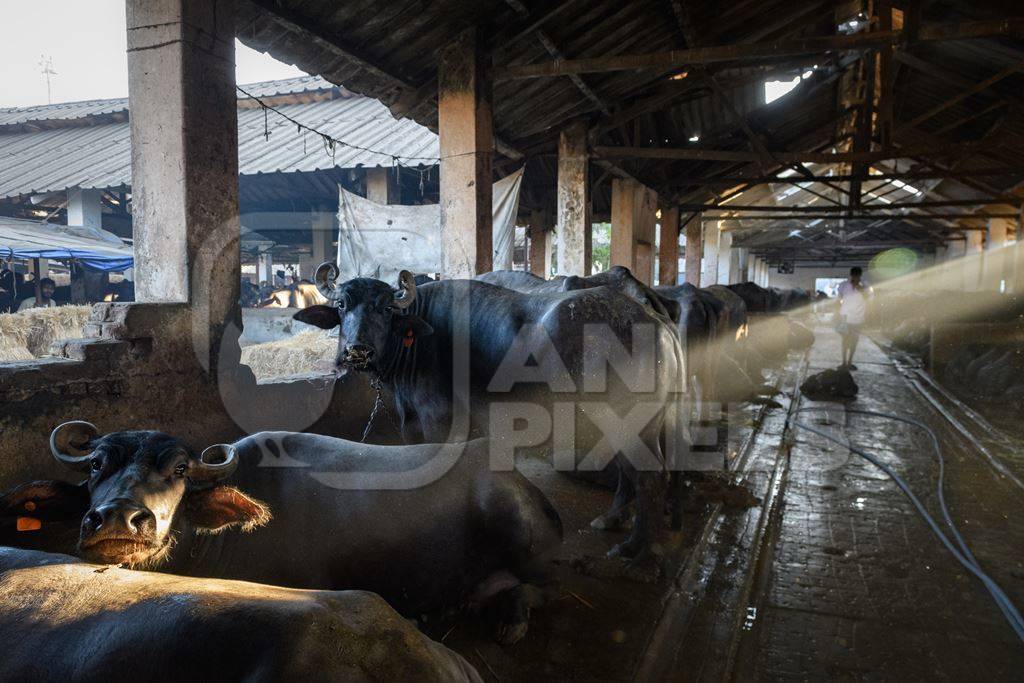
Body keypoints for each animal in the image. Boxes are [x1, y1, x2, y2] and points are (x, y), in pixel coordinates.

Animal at [2, 423, 561, 643]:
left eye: (180, 469)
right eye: (97, 465)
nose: (119, 519)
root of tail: (526, 486)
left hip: (523, 537)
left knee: (537, 586)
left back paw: (510, 620)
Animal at [292, 266, 684, 561]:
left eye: (386, 308)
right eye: (342, 304)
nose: (358, 350)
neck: (417, 341)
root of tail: (655, 320)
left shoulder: (439, 421)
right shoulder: (412, 424)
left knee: (649, 476)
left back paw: (637, 551)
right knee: (631, 472)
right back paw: (613, 520)